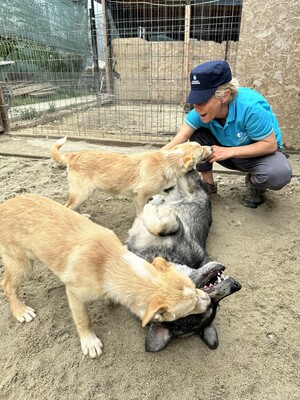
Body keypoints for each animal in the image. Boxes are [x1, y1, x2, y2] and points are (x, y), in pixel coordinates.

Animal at [0, 195, 211, 360]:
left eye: (194, 286)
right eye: (190, 307)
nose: (209, 300)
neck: (109, 264)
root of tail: (4, 206)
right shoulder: (74, 294)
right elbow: (83, 319)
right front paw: (90, 342)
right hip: (21, 264)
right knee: (7, 284)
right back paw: (21, 311)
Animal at [51, 137, 211, 216]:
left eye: (201, 146)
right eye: (201, 151)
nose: (211, 147)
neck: (168, 161)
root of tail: (73, 155)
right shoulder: (140, 196)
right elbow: (141, 214)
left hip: (82, 194)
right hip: (82, 193)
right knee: (68, 206)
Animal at [126, 170, 241, 352]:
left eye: (214, 306)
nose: (236, 286)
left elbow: (161, 224)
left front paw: (152, 207)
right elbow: (160, 225)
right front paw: (153, 206)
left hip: (187, 181)